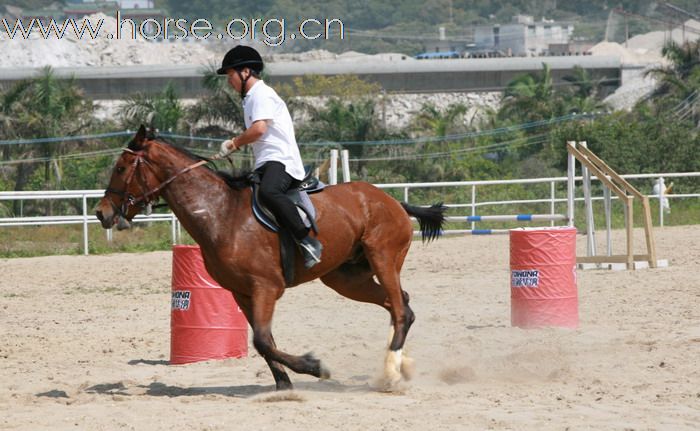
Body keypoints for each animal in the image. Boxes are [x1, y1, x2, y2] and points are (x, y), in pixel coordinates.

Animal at [95, 125, 446, 392]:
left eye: (121, 168)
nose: (101, 213)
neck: (221, 213)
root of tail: (393, 200)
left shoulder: (266, 287)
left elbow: (262, 341)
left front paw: (314, 366)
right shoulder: (242, 293)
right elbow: (265, 341)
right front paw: (284, 383)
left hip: (383, 259)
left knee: (400, 310)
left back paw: (390, 373)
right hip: (345, 278)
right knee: (400, 304)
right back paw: (401, 364)